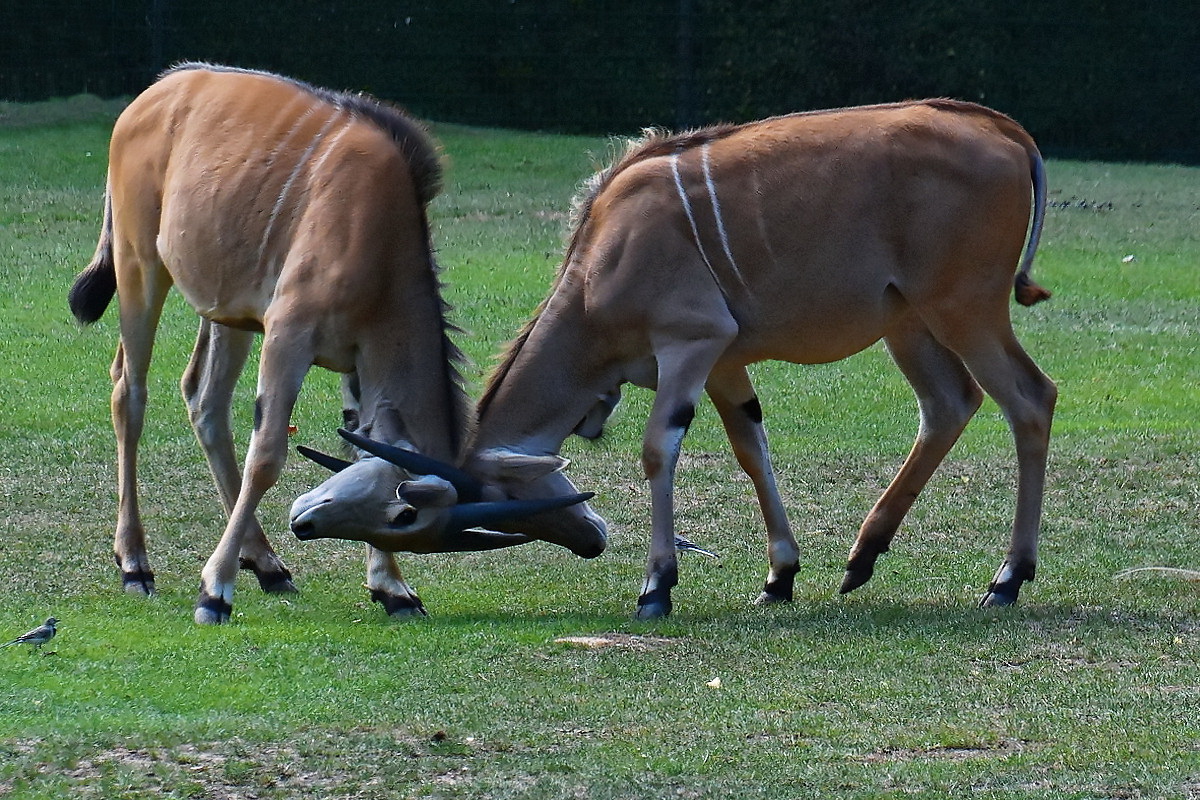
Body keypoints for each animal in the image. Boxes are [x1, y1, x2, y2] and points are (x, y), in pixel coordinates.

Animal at [68, 64, 583, 623]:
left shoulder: (356, 362)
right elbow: (267, 455)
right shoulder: (287, 336)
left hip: (226, 310)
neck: (378, 238)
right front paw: (214, 592)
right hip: (139, 265)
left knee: (203, 400)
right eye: (406, 515)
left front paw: (393, 589)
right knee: (130, 391)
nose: (304, 526)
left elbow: (358, 445)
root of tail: (157, 90)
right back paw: (135, 564)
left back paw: (267, 563)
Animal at [295, 98, 1056, 618]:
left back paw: (1007, 579)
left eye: (409, 519)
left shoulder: (688, 343)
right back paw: (862, 558)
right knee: (949, 405)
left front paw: (657, 585)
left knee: (1030, 398)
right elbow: (751, 447)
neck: (604, 255)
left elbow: (660, 447)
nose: (589, 540)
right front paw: (779, 576)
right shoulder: (723, 358)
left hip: (965, 307)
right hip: (909, 322)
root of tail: (1004, 130)